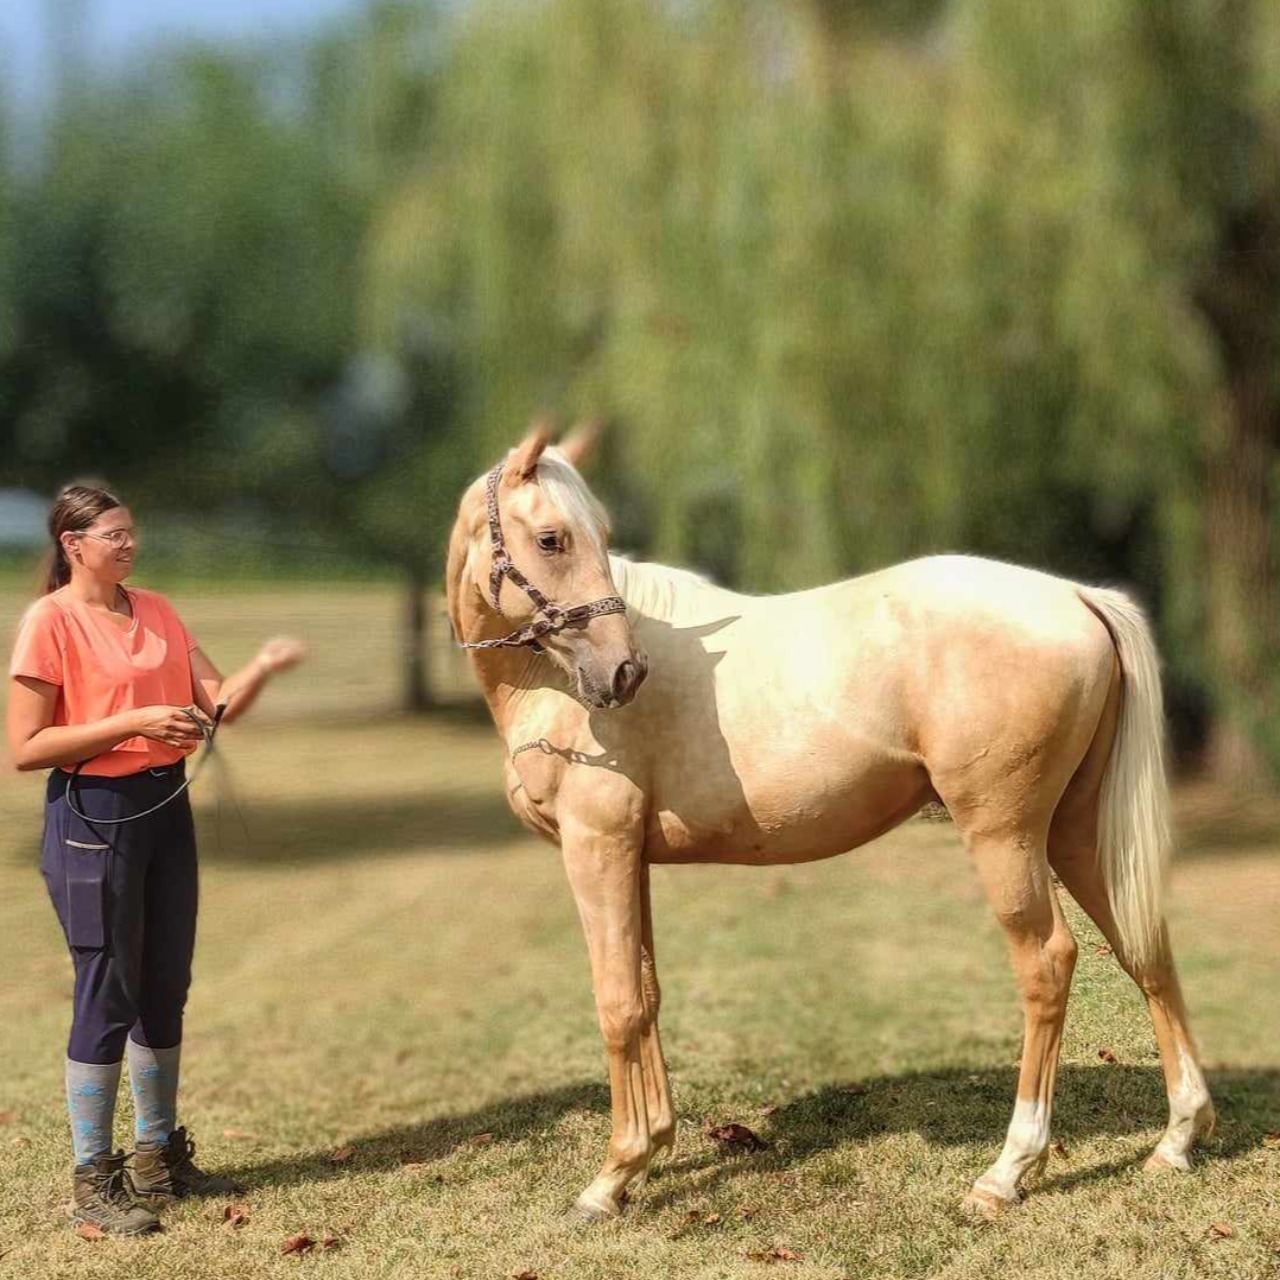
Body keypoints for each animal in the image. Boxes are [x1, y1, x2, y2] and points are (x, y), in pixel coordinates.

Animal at [445, 427, 1213, 1218]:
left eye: (586, 534)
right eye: (553, 537)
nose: (625, 673)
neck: (551, 690)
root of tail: (1076, 596)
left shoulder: (597, 849)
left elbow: (619, 1002)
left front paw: (611, 1178)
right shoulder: (631, 860)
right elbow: (648, 993)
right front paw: (650, 1150)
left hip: (1007, 835)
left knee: (1049, 963)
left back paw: (1006, 1171)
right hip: (1076, 831)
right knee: (1143, 947)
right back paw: (1176, 1140)